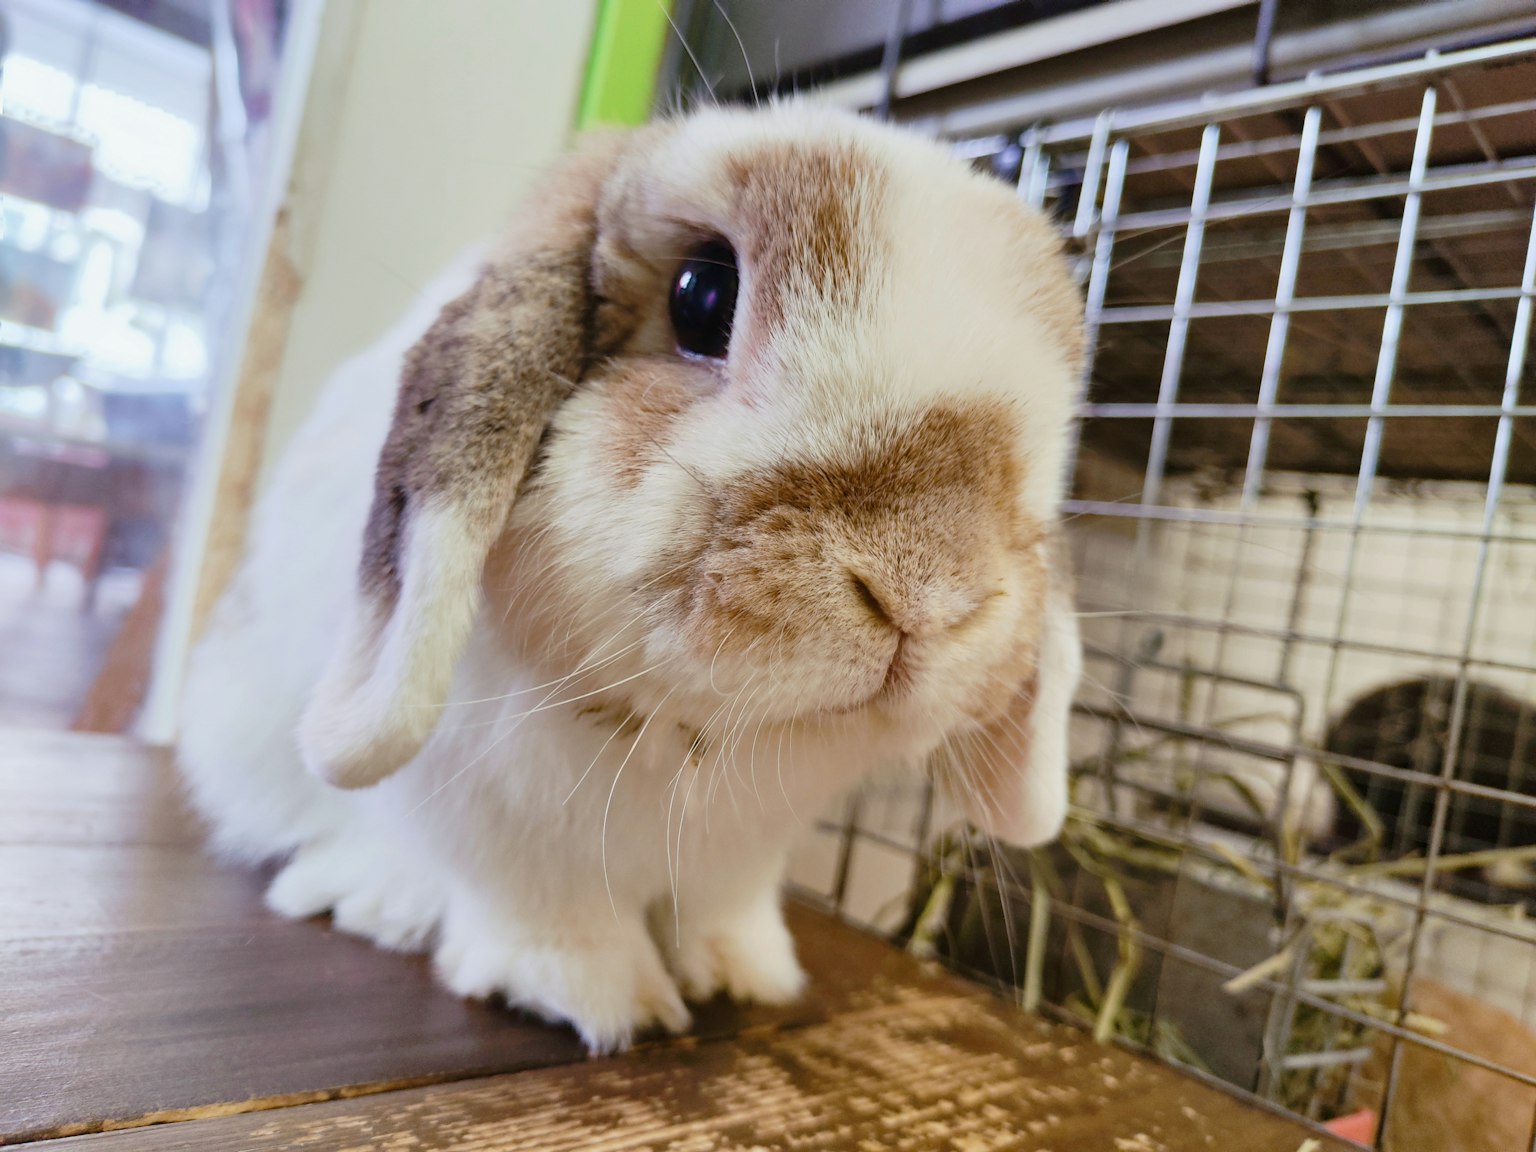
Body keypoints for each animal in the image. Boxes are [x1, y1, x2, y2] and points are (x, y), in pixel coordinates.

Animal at [177, 102, 1086, 1054]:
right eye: (703, 296)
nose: (930, 591)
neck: (708, 733)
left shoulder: (744, 857)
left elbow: (725, 911)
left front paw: (745, 975)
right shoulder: (507, 825)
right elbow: (553, 914)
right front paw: (602, 1000)